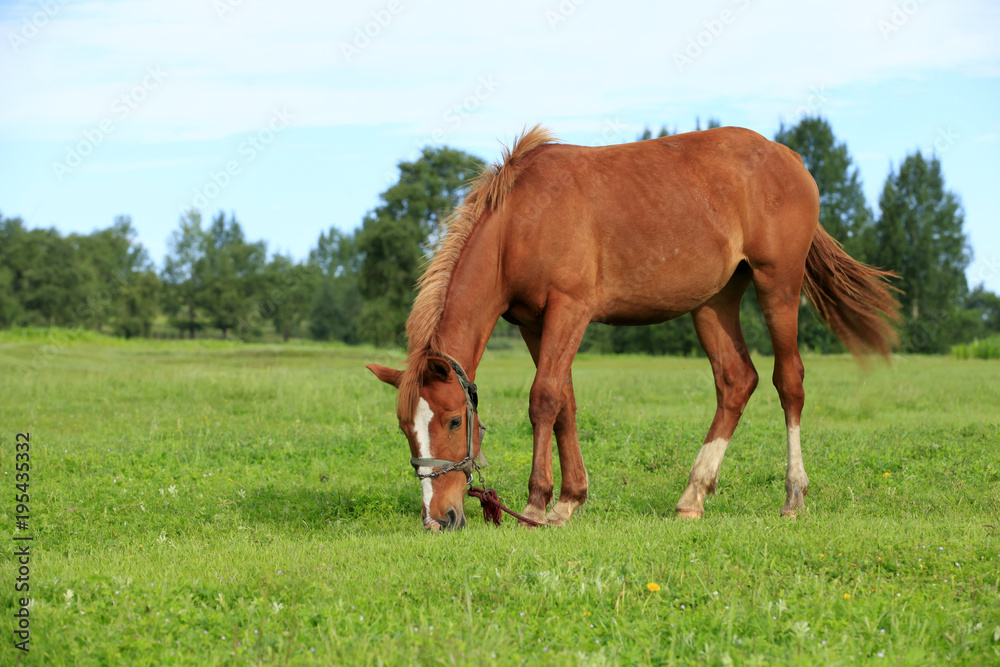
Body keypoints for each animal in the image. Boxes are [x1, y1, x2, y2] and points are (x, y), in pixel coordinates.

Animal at [367, 125, 899, 531]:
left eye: (455, 421)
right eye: (405, 429)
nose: (439, 518)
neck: (520, 222)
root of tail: (790, 157)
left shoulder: (570, 310)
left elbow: (544, 399)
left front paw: (537, 505)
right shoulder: (535, 324)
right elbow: (566, 403)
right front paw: (570, 500)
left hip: (778, 287)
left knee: (788, 382)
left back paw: (793, 495)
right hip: (714, 302)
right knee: (736, 381)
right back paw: (692, 495)